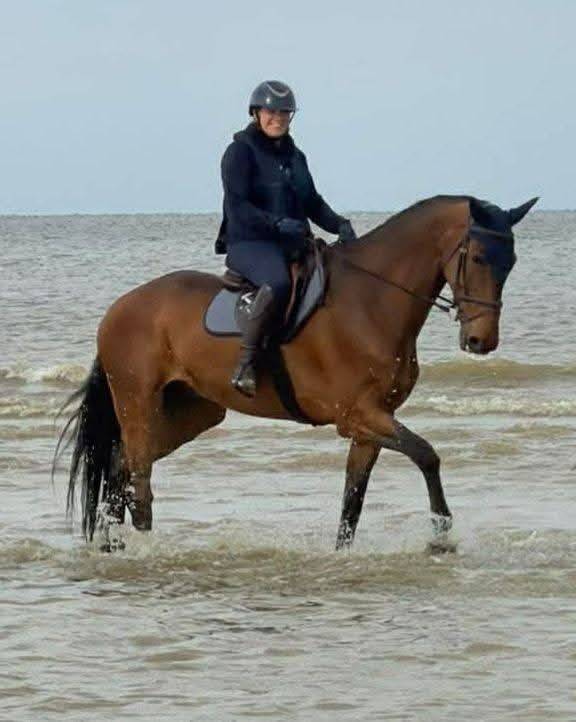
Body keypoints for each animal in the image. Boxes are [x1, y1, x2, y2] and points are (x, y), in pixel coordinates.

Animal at [55, 194, 538, 551]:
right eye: (478, 257)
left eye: (511, 262)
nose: (481, 341)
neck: (373, 301)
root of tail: (118, 308)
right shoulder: (357, 415)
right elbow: (427, 455)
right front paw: (441, 535)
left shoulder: (370, 426)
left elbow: (353, 499)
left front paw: (344, 554)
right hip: (137, 402)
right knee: (138, 474)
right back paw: (142, 549)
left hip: (191, 412)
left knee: (120, 467)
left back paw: (115, 544)